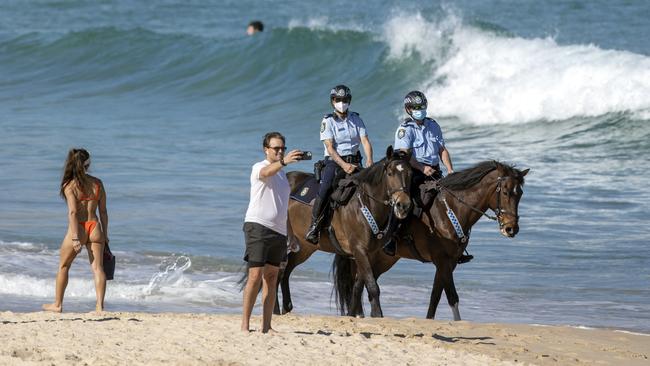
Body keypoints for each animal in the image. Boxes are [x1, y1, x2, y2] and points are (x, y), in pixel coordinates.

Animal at [280, 147, 412, 318]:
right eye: (390, 173)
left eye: (410, 174)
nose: (403, 205)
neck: (365, 204)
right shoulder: (359, 249)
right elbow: (371, 284)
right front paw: (377, 314)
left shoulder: (369, 253)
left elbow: (359, 285)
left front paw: (354, 313)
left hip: (305, 247)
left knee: (286, 269)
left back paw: (286, 307)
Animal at [332, 159, 528, 318]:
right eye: (505, 192)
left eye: (520, 193)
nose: (511, 228)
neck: (450, 209)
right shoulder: (442, 260)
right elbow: (452, 296)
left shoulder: (449, 262)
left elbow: (436, 295)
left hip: (382, 259)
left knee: (360, 282)